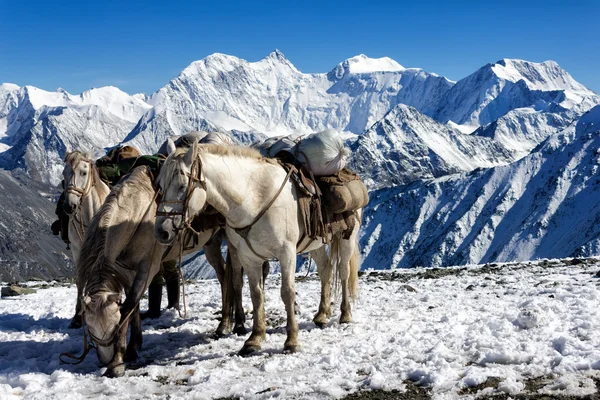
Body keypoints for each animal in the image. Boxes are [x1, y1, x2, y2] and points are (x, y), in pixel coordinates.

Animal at [156, 141, 360, 356]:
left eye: (182, 185)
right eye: (160, 185)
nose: (162, 231)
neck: (253, 198)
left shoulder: (286, 253)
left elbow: (287, 292)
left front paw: (292, 341)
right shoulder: (249, 258)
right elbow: (256, 294)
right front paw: (254, 339)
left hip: (347, 237)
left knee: (343, 271)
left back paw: (345, 314)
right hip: (315, 244)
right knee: (325, 269)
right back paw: (321, 314)